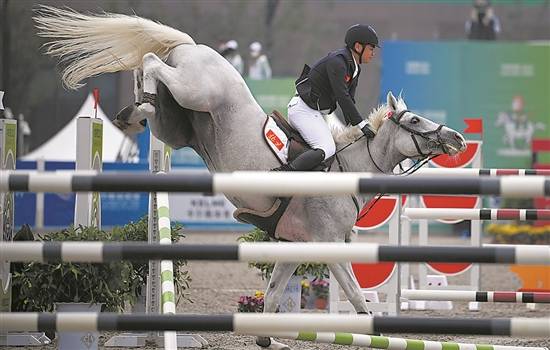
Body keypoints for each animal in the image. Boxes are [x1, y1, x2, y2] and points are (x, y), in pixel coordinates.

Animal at [33, 6, 466, 348]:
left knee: (151, 84)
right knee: (154, 60)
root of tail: (194, 45)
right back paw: (136, 101)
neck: (349, 168)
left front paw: (264, 337)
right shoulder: (329, 245)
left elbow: (273, 294)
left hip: (178, 125)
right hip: (195, 91)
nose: (457, 139)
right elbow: (359, 299)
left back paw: (135, 108)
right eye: (414, 120)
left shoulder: (296, 246)